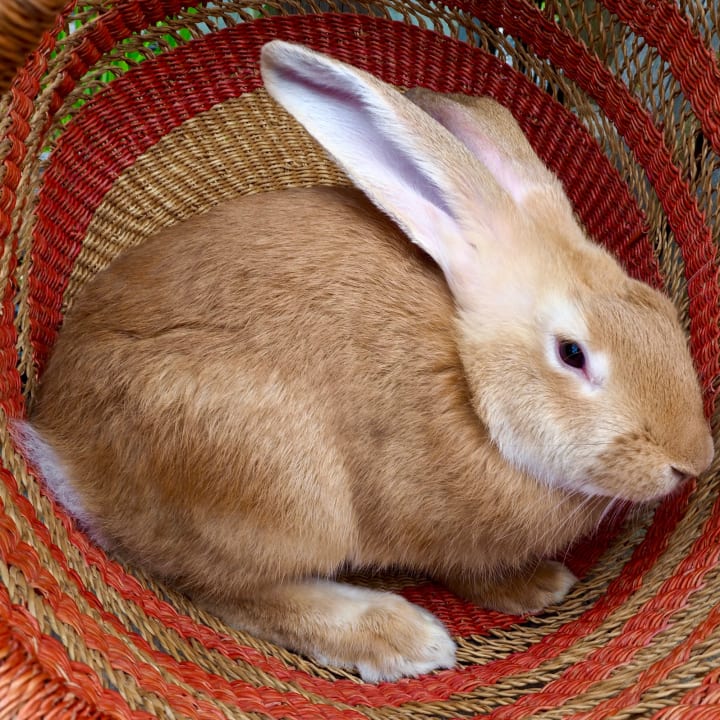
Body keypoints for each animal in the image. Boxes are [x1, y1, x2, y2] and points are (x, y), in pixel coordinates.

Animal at [16, 42, 716, 684]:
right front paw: (533, 587)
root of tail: (61, 443)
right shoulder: (432, 531)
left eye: (660, 309)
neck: (470, 386)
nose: (692, 462)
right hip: (277, 487)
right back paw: (401, 639)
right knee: (217, 586)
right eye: (573, 354)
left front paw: (542, 584)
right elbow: (461, 569)